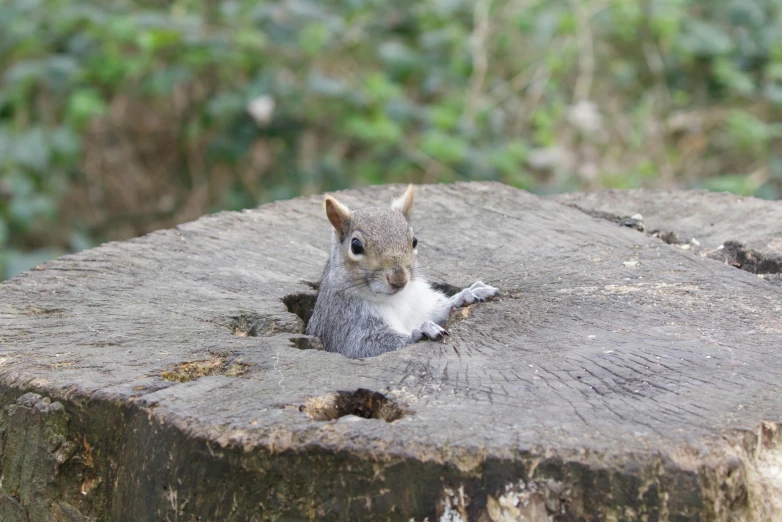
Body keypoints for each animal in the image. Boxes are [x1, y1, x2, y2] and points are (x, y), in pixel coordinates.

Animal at [306, 184, 502, 358]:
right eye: (355, 246)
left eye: (414, 240)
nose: (398, 279)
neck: (396, 300)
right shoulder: (344, 324)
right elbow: (364, 346)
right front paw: (420, 331)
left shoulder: (419, 305)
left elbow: (436, 310)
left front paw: (467, 294)